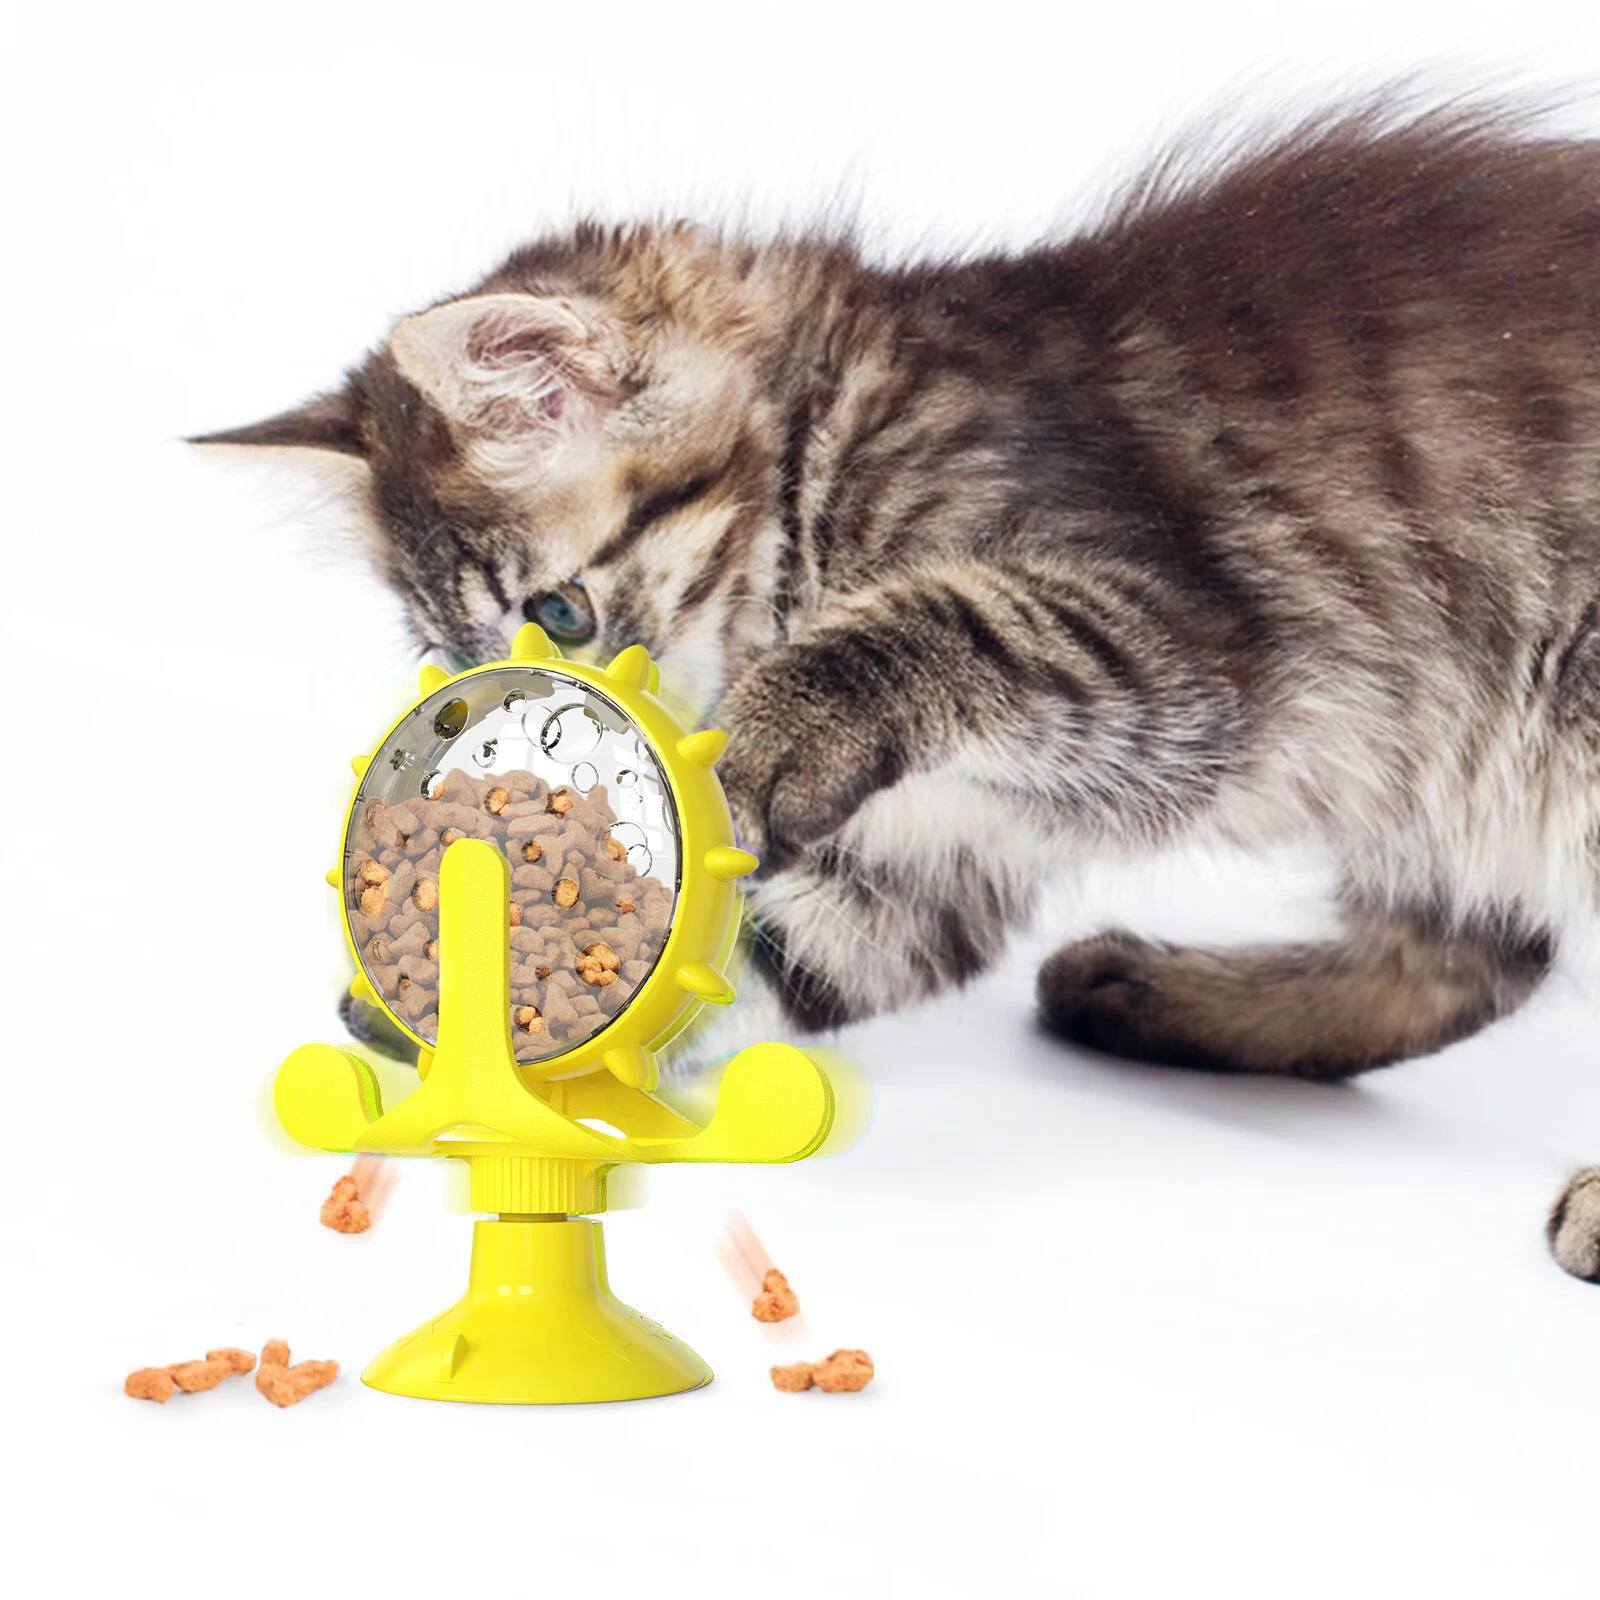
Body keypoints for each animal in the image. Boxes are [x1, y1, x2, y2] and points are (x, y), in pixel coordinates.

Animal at [198, 96, 1600, 1283]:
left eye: (561, 615)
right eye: (462, 666)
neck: (826, 438)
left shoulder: (1167, 648)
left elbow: (935, 623)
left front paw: (769, 728)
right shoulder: (932, 856)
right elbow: (759, 954)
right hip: (1446, 780)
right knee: (1478, 957)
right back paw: (1150, 993)